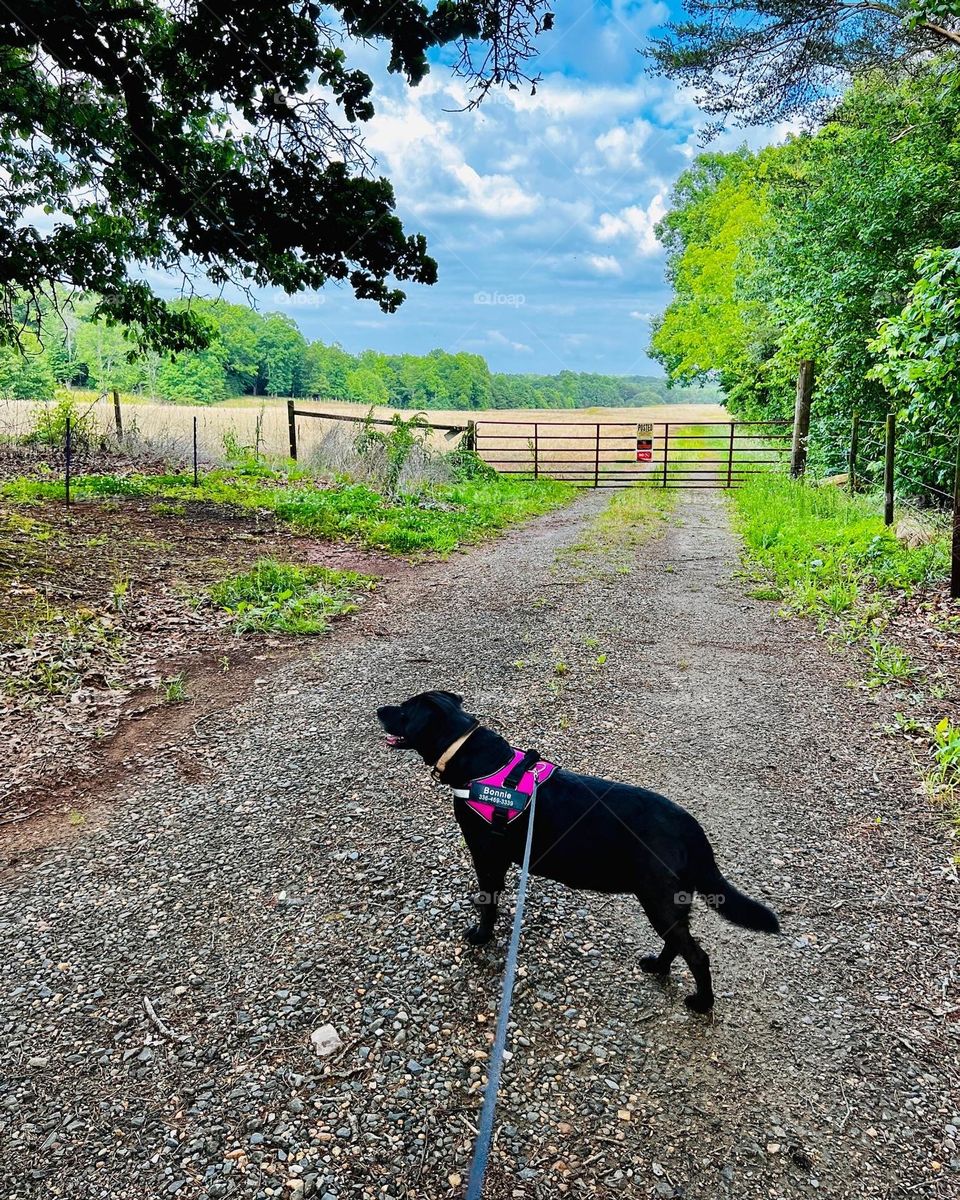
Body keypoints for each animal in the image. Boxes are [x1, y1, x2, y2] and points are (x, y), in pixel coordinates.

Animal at [376, 691, 777, 1008]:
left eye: (405, 709)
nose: (379, 709)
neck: (475, 762)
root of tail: (691, 828)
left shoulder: (487, 857)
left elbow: (487, 903)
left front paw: (481, 936)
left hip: (658, 898)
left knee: (697, 955)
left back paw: (702, 1002)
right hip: (671, 901)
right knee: (678, 944)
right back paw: (659, 968)